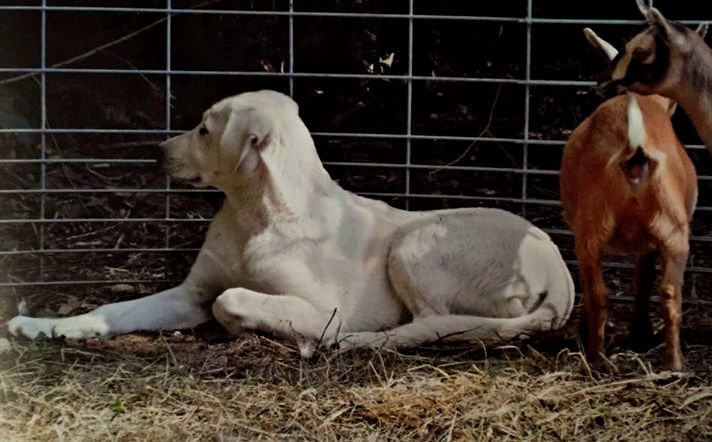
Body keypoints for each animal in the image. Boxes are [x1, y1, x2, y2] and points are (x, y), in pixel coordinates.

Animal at [8, 91, 576, 358]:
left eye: (204, 129)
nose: (156, 153)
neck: (254, 216)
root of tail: (560, 271)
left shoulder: (322, 309)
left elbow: (231, 298)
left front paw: (253, 326)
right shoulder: (189, 295)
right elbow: (112, 311)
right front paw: (46, 326)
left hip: (414, 243)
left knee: (433, 322)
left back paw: (359, 343)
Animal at [560, 29, 700, 372]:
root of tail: (635, 148)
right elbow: (644, 276)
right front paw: (641, 334)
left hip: (594, 229)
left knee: (599, 292)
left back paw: (598, 357)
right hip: (673, 231)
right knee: (669, 292)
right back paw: (673, 364)